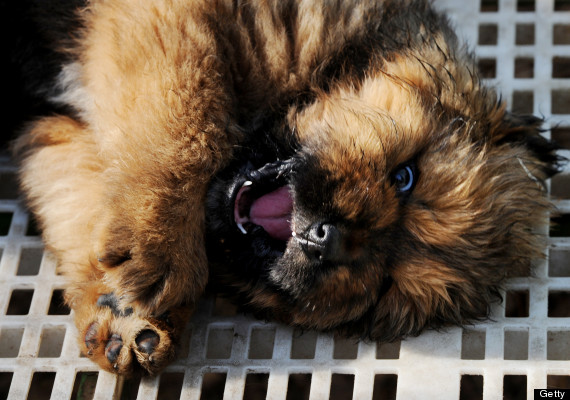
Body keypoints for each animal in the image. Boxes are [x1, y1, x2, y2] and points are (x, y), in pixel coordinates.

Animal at [13, 0, 560, 376]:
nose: (327, 239)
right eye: (405, 176)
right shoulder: (172, 16)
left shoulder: (57, 131)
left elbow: (78, 194)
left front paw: (124, 319)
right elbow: (185, 112)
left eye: (386, 284)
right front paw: (157, 245)